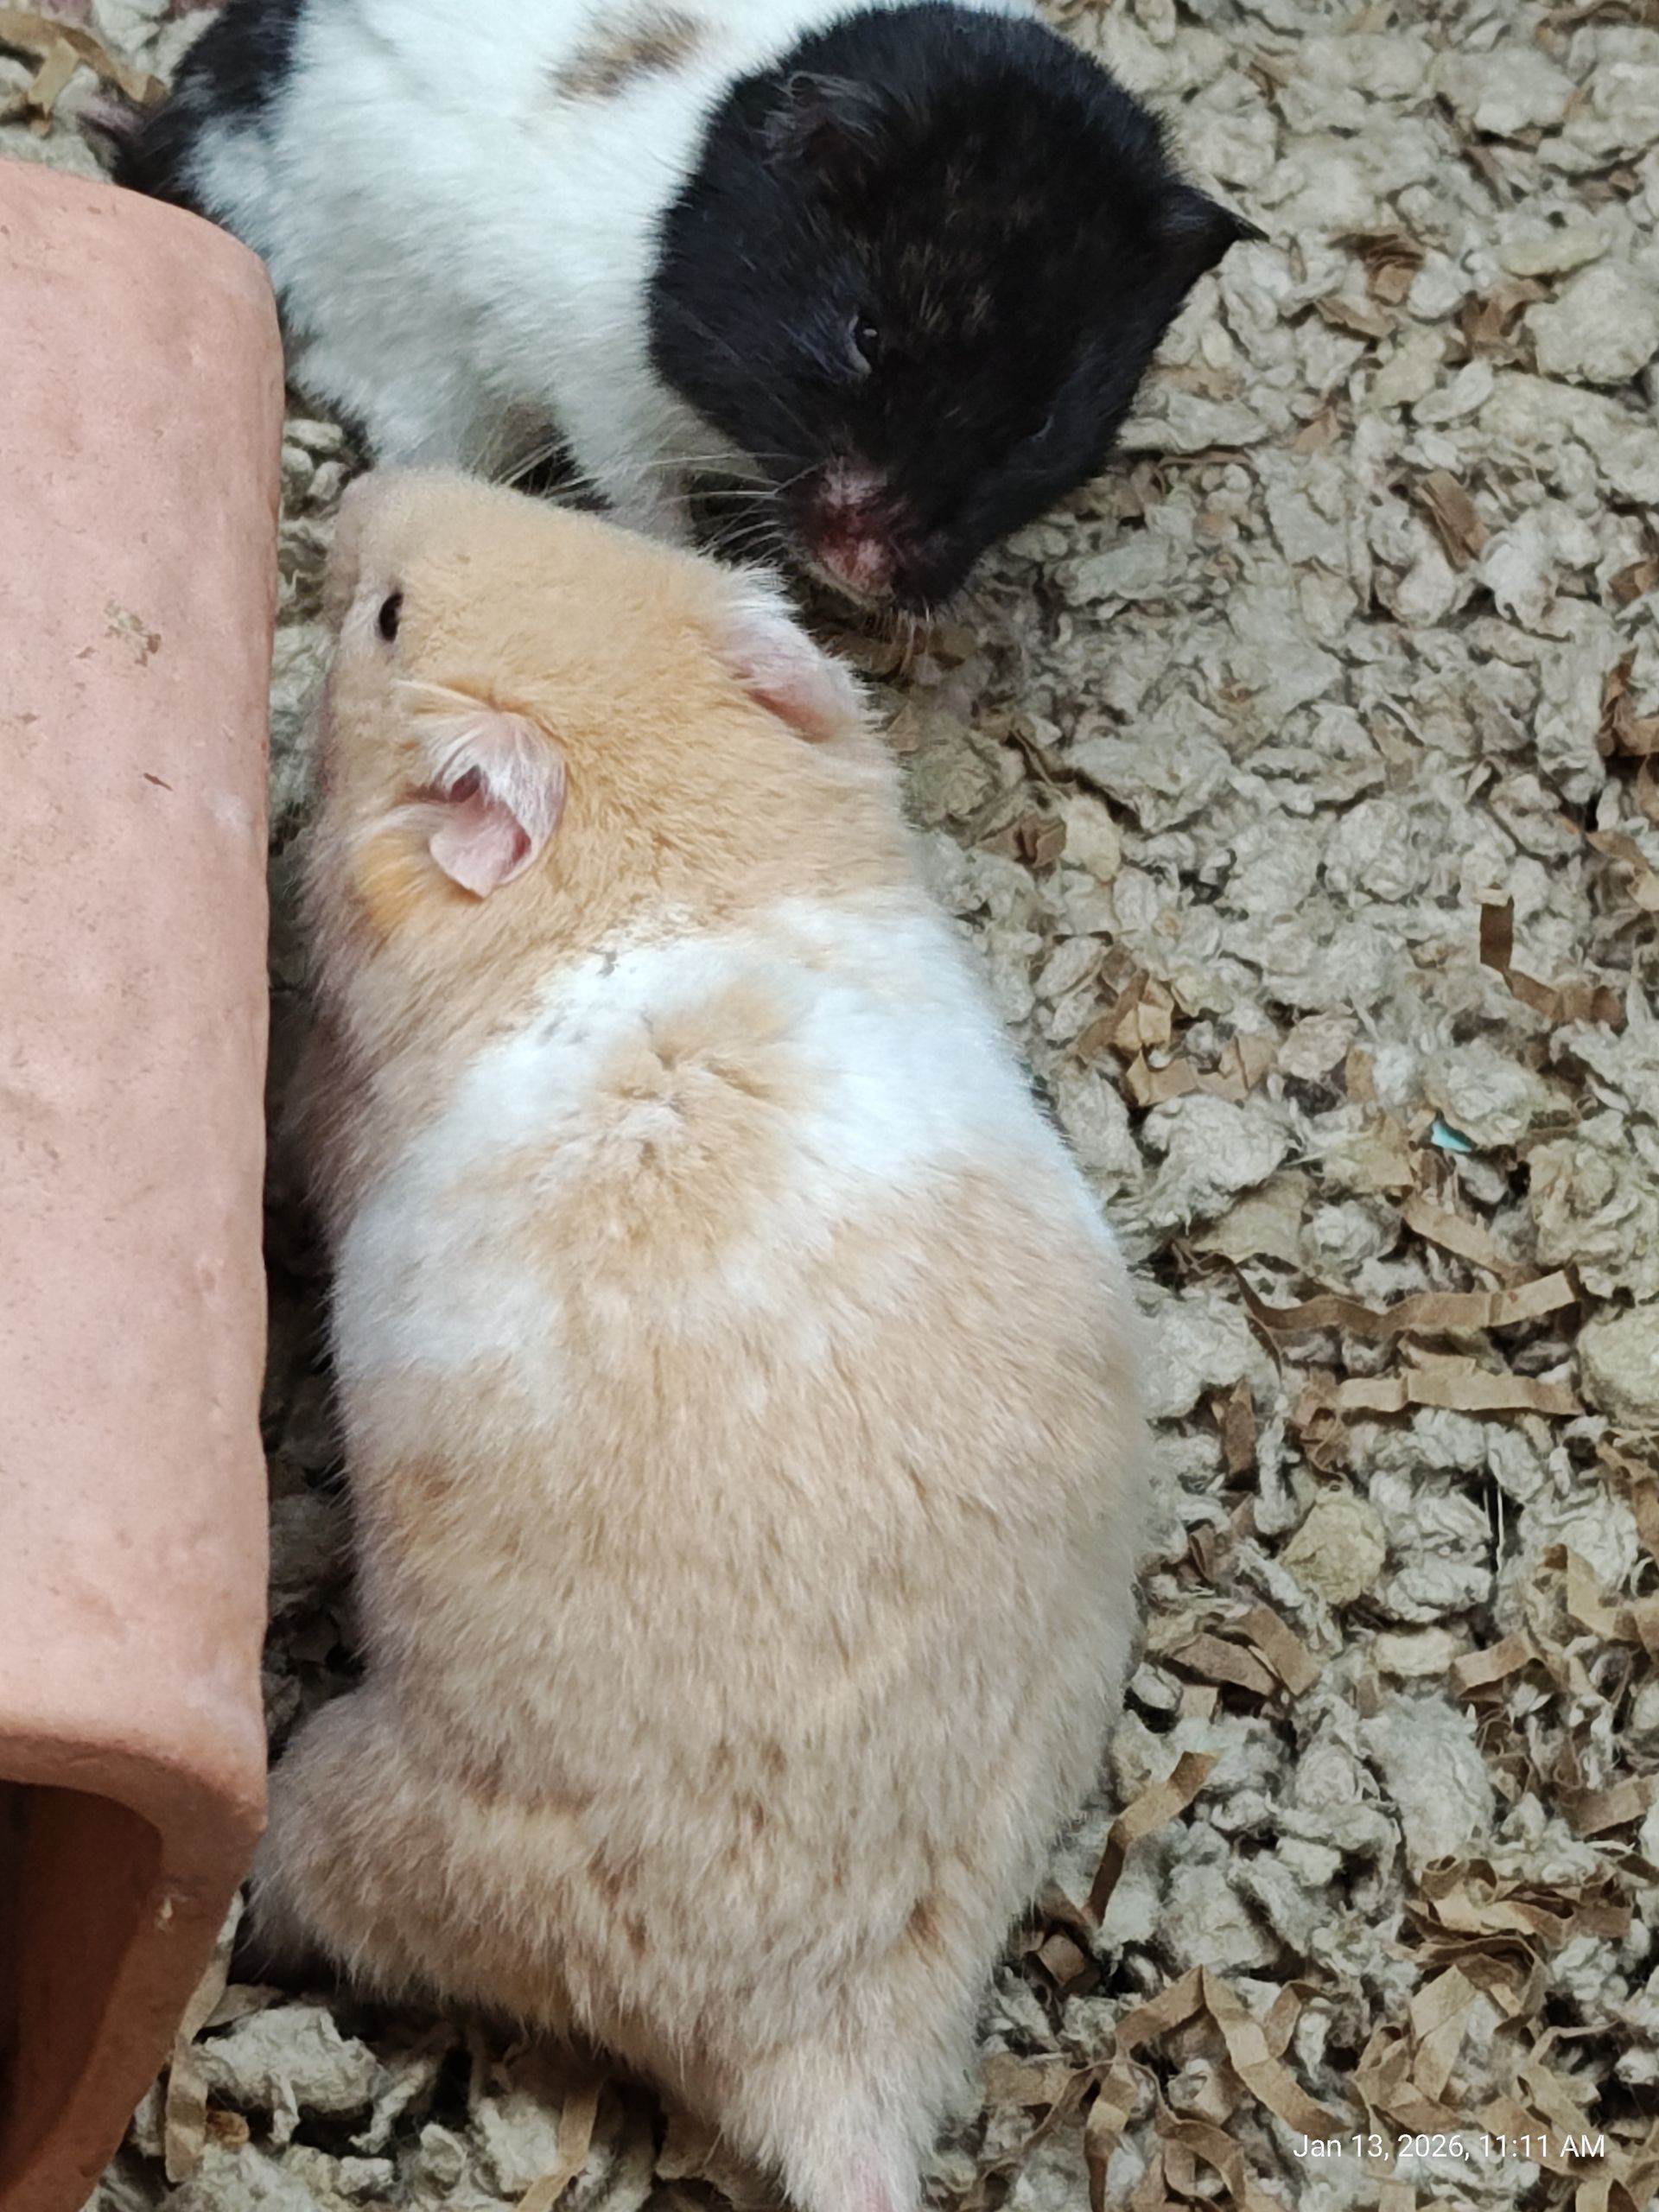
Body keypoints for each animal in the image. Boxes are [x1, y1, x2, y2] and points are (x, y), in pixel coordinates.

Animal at [115, 0, 1257, 609]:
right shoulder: (599, 395)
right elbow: (643, 501)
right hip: (426, 379)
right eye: (864, 335)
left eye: (1041, 423)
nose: (862, 572)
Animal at [252, 467, 1150, 2212]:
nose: (380, 488)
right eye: (612, 536)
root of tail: (833, 2056)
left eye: (386, 620)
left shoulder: (331, 1101)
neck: (652, 814)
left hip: (368, 1803)